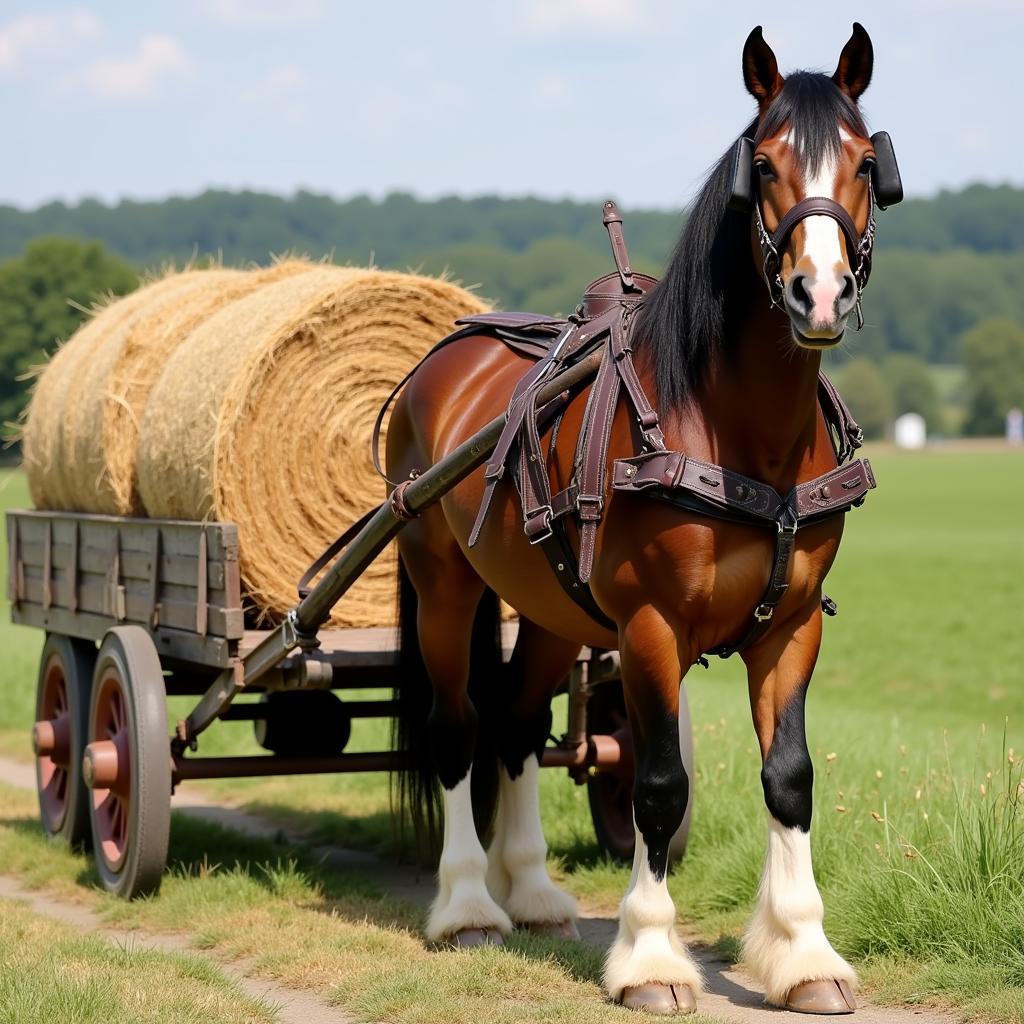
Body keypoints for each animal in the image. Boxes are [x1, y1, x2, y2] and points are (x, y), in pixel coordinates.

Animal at [387, 24, 892, 1015]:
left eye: (863, 160)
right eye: (763, 163)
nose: (819, 295)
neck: (741, 435)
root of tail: (447, 351)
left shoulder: (794, 624)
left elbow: (790, 778)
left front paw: (802, 954)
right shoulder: (652, 625)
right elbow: (658, 784)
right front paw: (652, 958)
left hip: (554, 609)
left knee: (513, 723)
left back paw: (533, 890)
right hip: (444, 588)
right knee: (457, 728)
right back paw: (467, 906)